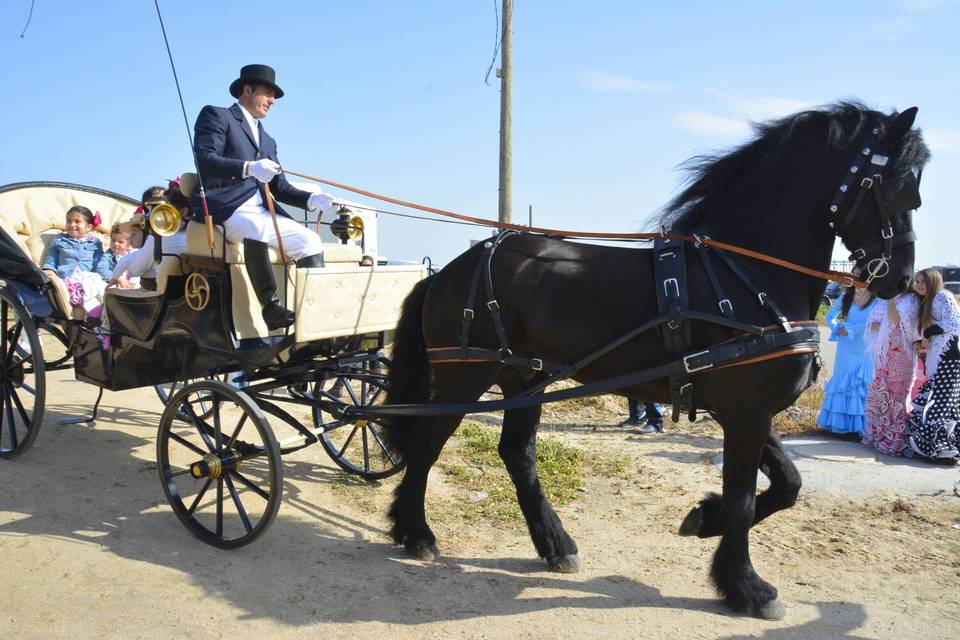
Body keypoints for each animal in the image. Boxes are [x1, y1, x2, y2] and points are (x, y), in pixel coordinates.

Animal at [378, 104, 928, 620]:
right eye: (897, 188)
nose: (900, 279)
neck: (745, 276)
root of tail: (448, 270)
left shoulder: (747, 409)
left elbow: (788, 485)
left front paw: (704, 521)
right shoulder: (746, 412)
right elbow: (744, 498)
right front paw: (746, 587)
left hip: (525, 378)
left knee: (518, 454)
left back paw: (555, 544)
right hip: (464, 377)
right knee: (426, 444)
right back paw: (416, 532)